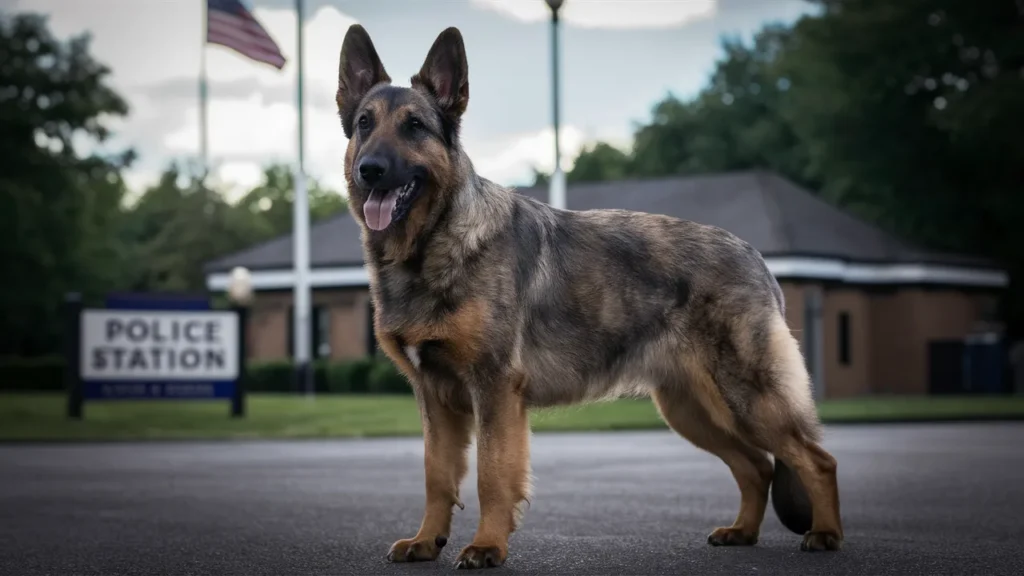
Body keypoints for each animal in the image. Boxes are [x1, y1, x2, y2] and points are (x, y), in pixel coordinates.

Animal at [339, 23, 843, 569]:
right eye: (364, 123)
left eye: (414, 126)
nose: (370, 169)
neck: (431, 243)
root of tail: (756, 256)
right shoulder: (435, 399)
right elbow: (437, 477)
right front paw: (426, 540)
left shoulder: (493, 391)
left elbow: (493, 476)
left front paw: (487, 545)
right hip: (693, 410)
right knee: (757, 467)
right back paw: (743, 532)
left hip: (747, 401)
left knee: (816, 459)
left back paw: (826, 534)